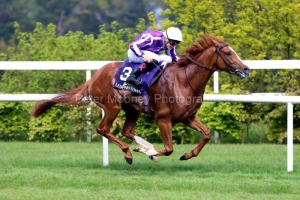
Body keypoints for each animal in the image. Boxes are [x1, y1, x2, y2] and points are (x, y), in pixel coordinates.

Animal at [30, 34, 251, 164]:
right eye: (228, 53)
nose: (246, 69)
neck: (184, 81)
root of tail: (94, 76)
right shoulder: (163, 118)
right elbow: (169, 149)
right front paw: (151, 153)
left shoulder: (187, 117)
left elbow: (205, 134)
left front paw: (186, 154)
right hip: (112, 106)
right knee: (103, 129)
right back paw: (129, 152)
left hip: (132, 109)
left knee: (127, 130)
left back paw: (142, 146)